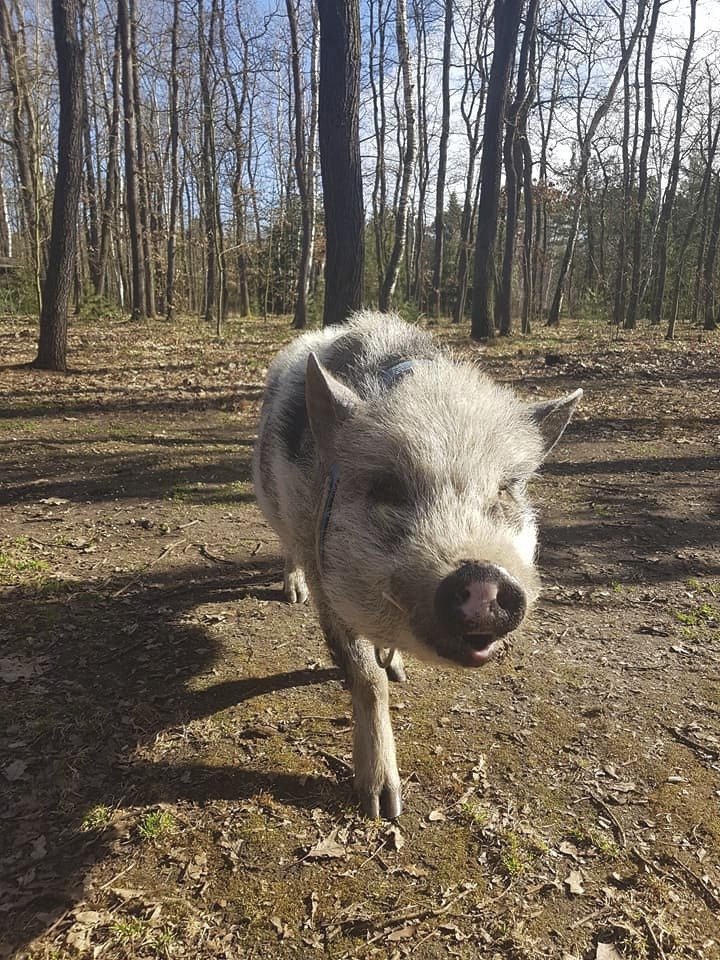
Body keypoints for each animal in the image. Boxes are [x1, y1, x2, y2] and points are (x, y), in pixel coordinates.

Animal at [252, 314, 580, 816]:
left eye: (505, 490)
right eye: (386, 487)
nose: (483, 575)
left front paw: (398, 670)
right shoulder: (325, 572)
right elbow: (367, 680)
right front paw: (383, 805)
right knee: (287, 546)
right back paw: (292, 595)